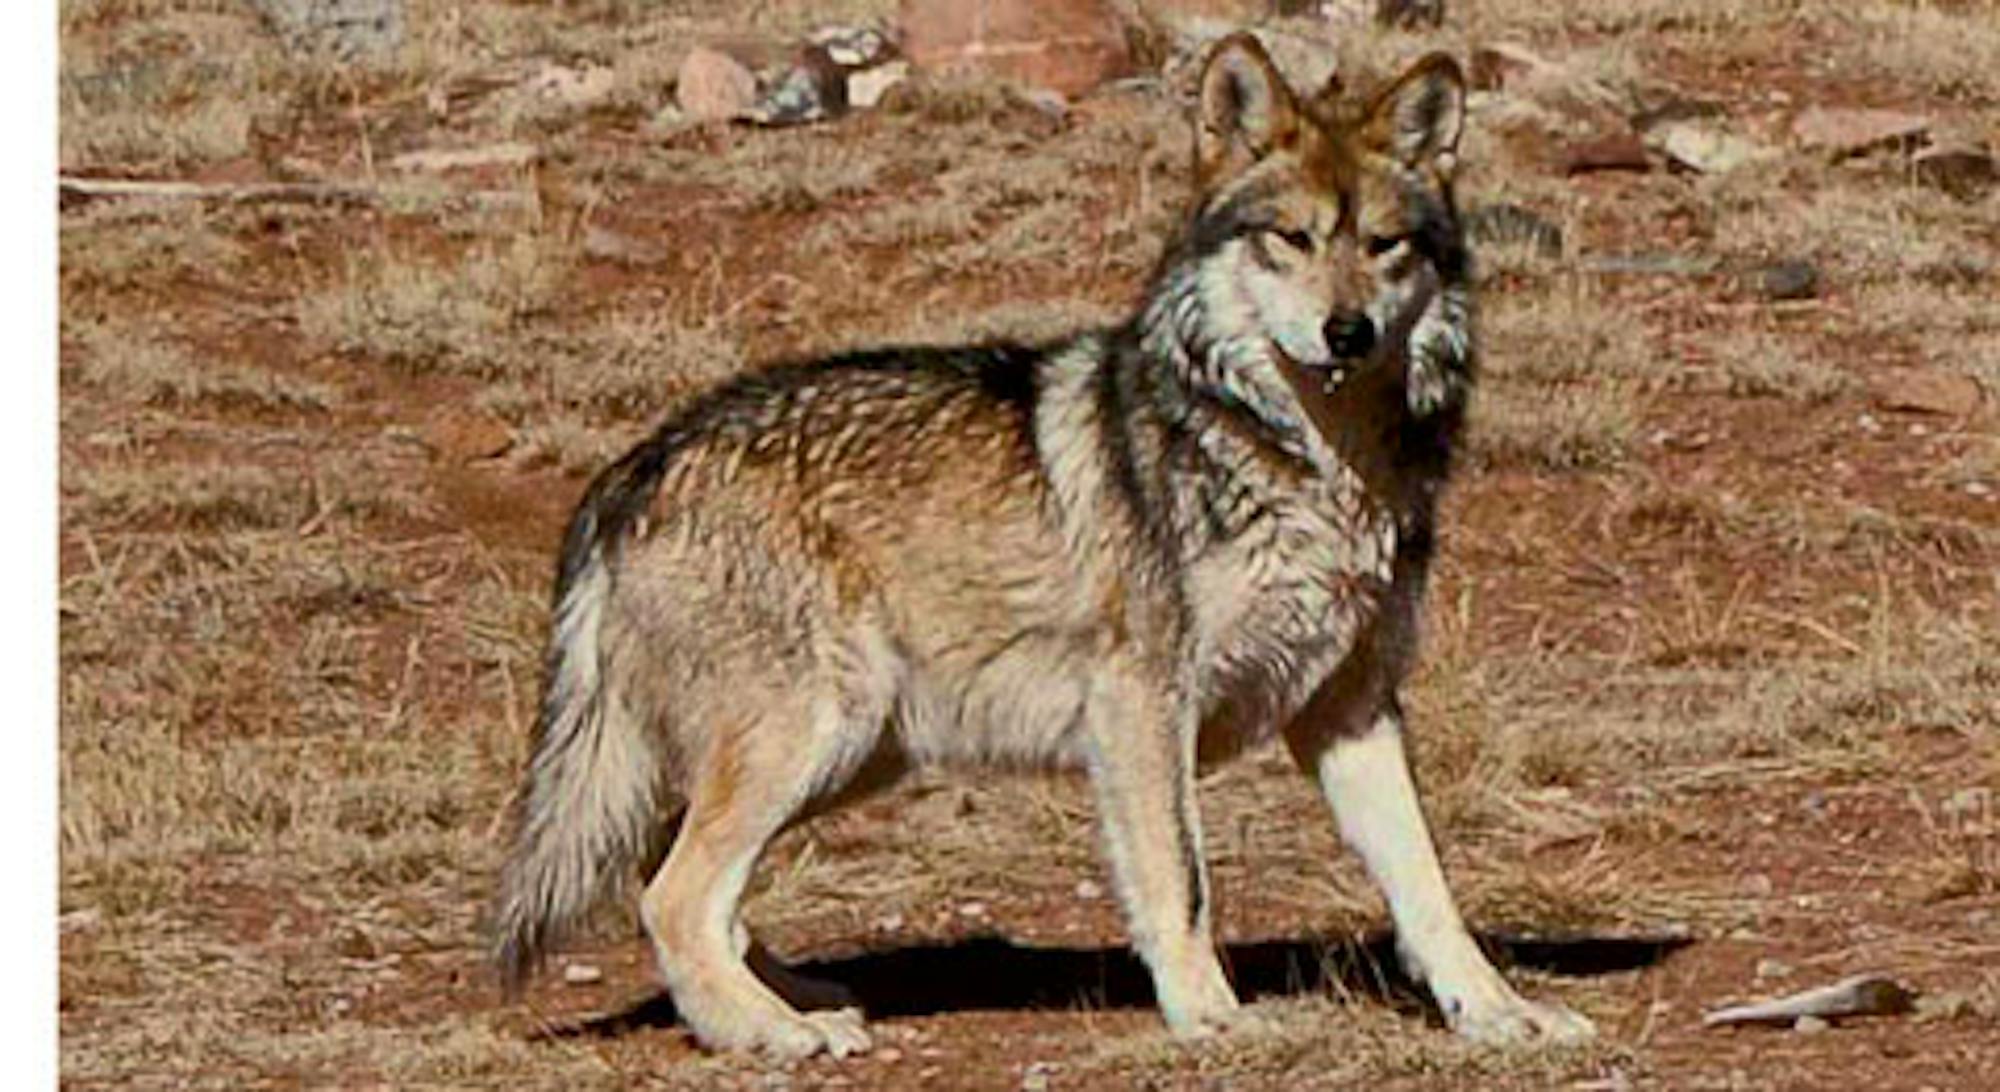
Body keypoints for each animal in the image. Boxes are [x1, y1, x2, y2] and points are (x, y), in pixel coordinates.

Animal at [490, 34, 1595, 1058]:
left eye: (1385, 244)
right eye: (1290, 238)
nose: (1348, 331)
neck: (1307, 462)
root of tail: (634, 466)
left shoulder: (1350, 711)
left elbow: (1428, 889)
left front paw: (1499, 1013)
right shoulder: (1143, 705)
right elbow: (1183, 884)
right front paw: (1211, 1018)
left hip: (851, 750)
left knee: (673, 882)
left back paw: (788, 1001)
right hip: (816, 731)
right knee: (673, 897)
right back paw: (777, 1033)